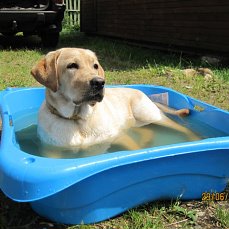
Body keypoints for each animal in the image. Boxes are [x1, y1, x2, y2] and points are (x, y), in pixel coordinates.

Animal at [30, 48, 199, 156]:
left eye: (95, 66)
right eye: (72, 65)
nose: (99, 82)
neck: (77, 119)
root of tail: (142, 92)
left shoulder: (118, 136)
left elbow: (134, 149)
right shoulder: (51, 151)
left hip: (149, 115)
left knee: (182, 128)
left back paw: (196, 139)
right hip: (133, 122)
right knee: (146, 130)